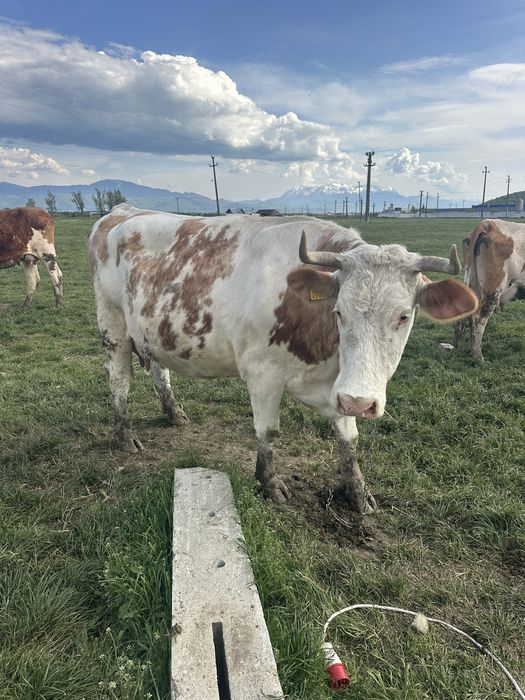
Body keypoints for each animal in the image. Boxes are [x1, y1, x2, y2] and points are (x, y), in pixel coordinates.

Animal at [88, 204, 478, 514]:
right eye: (339, 311)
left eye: (404, 316)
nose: (361, 402)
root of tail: (122, 211)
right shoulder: (263, 374)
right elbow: (268, 431)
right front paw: (269, 483)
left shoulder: (339, 385)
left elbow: (349, 438)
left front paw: (357, 492)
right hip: (112, 323)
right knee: (118, 380)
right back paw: (125, 436)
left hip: (152, 330)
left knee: (159, 369)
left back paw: (173, 413)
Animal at [454, 219, 525, 361]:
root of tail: (488, 224)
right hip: (492, 290)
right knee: (480, 319)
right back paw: (478, 356)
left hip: (475, 286)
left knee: (472, 318)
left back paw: (472, 351)